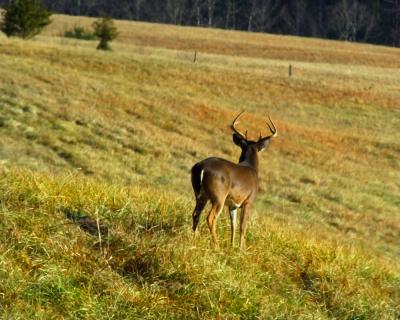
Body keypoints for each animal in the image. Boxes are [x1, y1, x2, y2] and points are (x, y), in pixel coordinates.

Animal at [190, 111, 276, 249]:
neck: (251, 167)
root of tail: (201, 167)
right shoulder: (248, 201)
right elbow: (242, 226)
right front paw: (241, 249)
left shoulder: (233, 205)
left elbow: (233, 225)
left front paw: (232, 246)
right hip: (218, 196)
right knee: (210, 218)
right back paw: (216, 246)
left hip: (200, 195)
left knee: (195, 214)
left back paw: (194, 241)